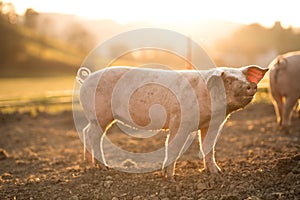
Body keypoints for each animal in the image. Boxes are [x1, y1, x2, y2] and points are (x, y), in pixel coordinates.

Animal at [77, 65, 268, 178]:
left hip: (96, 117)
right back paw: (104, 168)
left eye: (244, 78)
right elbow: (173, 146)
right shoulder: (180, 121)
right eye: (228, 80)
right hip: (100, 114)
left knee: (86, 131)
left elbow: (208, 148)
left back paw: (90, 165)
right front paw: (169, 177)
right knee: (93, 135)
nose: (251, 85)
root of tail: (86, 79)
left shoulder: (213, 124)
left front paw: (217, 174)